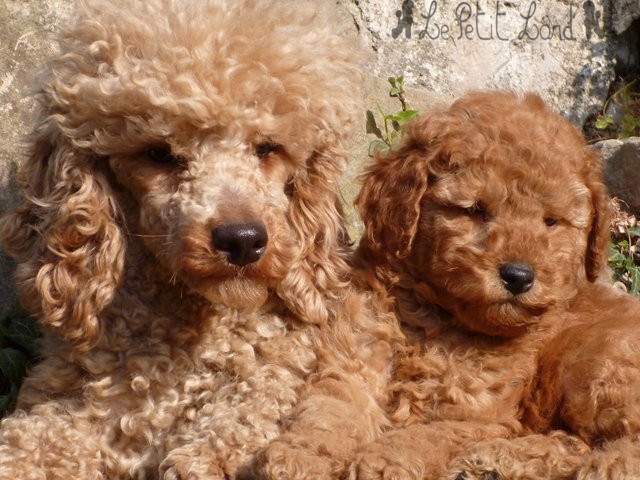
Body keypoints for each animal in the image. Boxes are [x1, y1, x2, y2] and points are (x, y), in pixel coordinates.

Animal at [352, 91, 640, 480]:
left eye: (551, 222)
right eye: (475, 210)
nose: (518, 276)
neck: (445, 321)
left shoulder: (488, 417)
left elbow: (434, 433)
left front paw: (385, 458)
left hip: (598, 363)